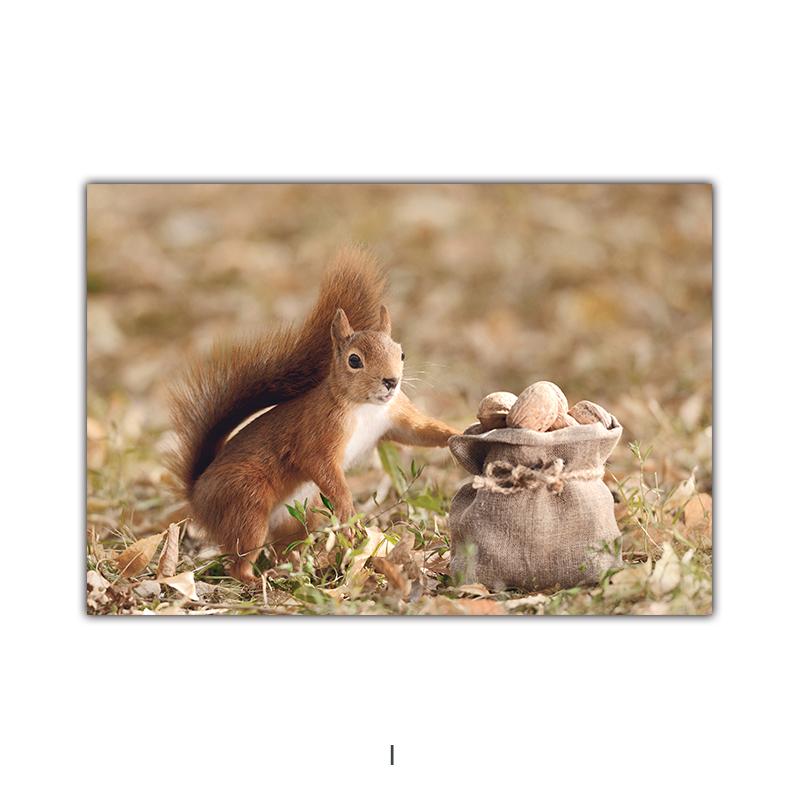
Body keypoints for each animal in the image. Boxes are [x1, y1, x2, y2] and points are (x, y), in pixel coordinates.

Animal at [168, 246, 459, 583]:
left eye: (401, 353)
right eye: (354, 360)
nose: (391, 381)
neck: (366, 407)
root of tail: (197, 494)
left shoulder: (395, 414)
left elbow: (419, 432)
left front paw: (458, 434)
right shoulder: (319, 432)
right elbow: (320, 465)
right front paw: (348, 513)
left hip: (295, 517)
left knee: (285, 547)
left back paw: (299, 566)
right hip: (246, 505)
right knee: (239, 559)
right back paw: (256, 579)